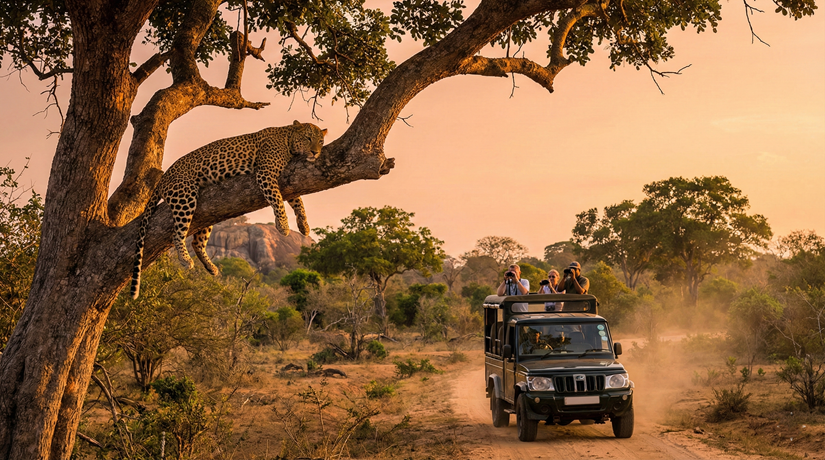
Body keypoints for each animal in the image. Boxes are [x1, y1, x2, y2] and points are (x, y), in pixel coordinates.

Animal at [130, 120, 327, 299]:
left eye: (321, 141)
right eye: (308, 138)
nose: (315, 152)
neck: (288, 139)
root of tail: (162, 179)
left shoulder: (287, 180)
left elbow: (298, 201)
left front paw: (304, 226)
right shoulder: (266, 173)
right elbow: (278, 200)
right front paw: (284, 227)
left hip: (207, 214)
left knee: (196, 242)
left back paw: (211, 268)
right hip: (184, 197)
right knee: (176, 233)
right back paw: (186, 260)